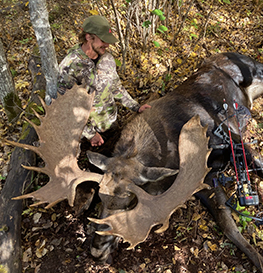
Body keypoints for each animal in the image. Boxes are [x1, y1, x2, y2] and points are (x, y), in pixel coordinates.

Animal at [5, 51, 263, 270]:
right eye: (101, 199)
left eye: (131, 203)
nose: (97, 252)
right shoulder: (204, 178)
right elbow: (228, 225)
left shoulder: (231, 142)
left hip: (255, 72)